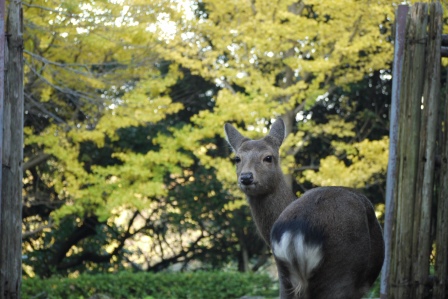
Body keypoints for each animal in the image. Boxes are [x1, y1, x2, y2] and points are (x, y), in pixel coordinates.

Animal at [224, 119, 384, 299]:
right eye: (237, 158)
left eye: (268, 157)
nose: (246, 177)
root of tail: (296, 232)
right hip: (342, 272)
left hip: (284, 277)